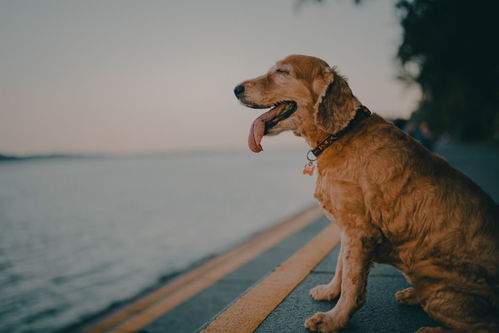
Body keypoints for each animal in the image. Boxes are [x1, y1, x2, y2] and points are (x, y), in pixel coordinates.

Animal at [234, 55, 499, 332]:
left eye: (283, 72)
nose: (236, 89)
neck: (340, 135)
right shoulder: (347, 229)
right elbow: (341, 265)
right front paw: (330, 292)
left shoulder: (359, 231)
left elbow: (352, 283)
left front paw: (334, 319)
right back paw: (412, 294)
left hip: (439, 293)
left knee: (486, 325)